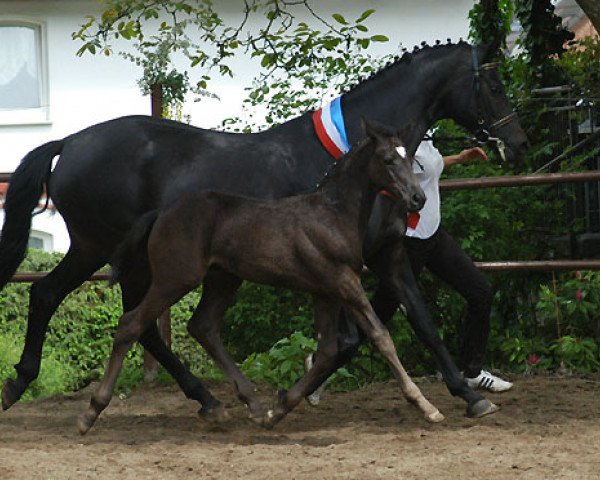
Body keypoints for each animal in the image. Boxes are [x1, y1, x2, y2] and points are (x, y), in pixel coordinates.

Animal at [77, 123, 440, 436]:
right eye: (388, 159)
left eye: (410, 159)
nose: (417, 199)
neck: (332, 214)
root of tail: (160, 213)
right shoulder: (342, 281)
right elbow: (380, 335)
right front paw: (426, 406)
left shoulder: (324, 291)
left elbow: (327, 351)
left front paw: (276, 411)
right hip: (175, 278)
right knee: (131, 324)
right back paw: (91, 412)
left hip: (223, 280)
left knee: (203, 326)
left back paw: (251, 404)